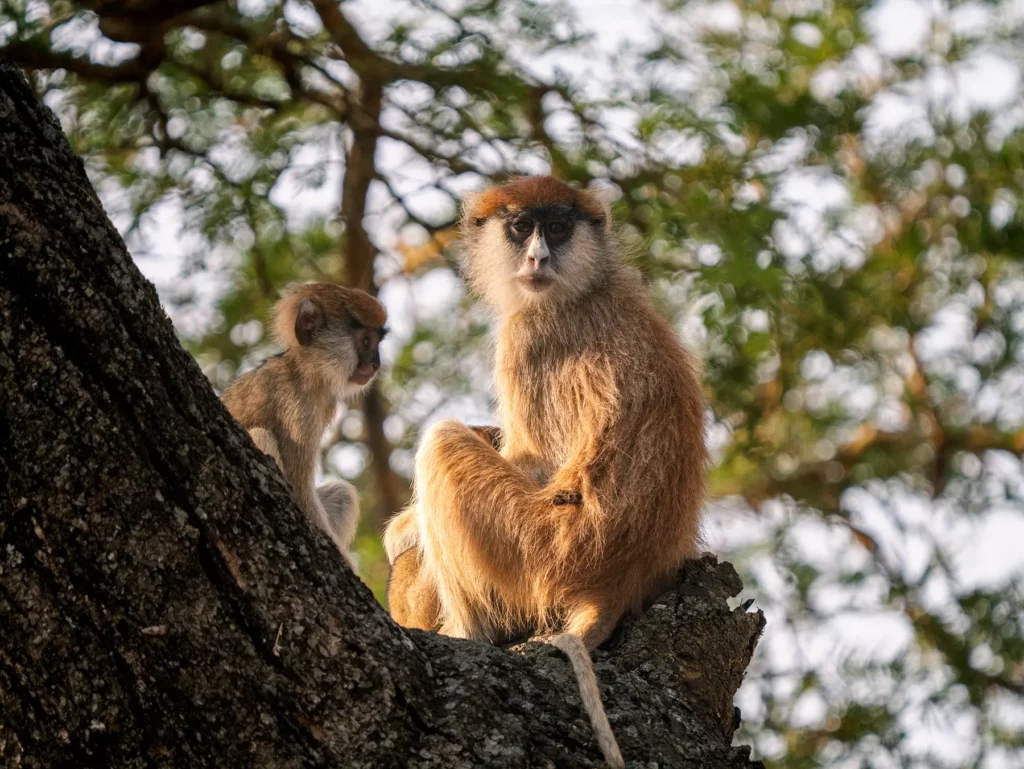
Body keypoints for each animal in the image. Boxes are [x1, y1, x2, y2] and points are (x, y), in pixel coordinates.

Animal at [222, 282, 387, 562]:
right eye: (366, 341)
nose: (375, 364)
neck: (303, 368)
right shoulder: (297, 408)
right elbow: (300, 492)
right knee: (261, 435)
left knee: (342, 494)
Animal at [383, 176, 706, 769]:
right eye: (521, 227)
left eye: (557, 227)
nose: (538, 256)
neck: (585, 285)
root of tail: (617, 579)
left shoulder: (527, 337)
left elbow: (534, 463)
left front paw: (402, 531)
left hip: (536, 548)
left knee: (442, 445)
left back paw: (470, 633)